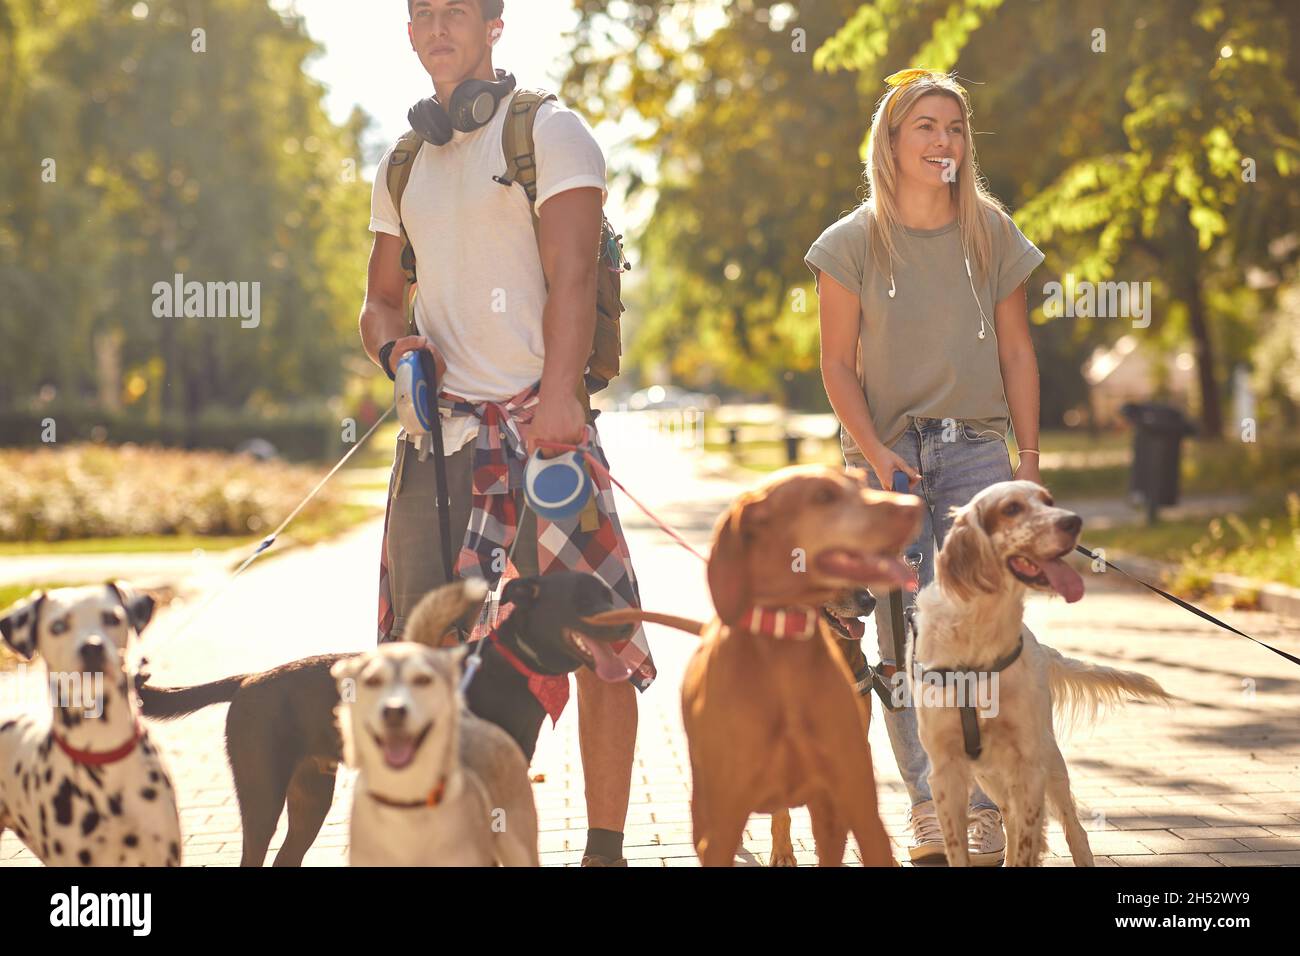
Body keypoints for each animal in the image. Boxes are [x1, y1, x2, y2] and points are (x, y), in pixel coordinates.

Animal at [909, 486, 1175, 868]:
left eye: (1048, 501)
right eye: (1011, 508)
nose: (1073, 521)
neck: (980, 638)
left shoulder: (1028, 764)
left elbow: (1027, 839)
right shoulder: (946, 770)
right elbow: (960, 846)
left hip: (1048, 758)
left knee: (1069, 826)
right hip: (989, 770)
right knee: (1012, 815)